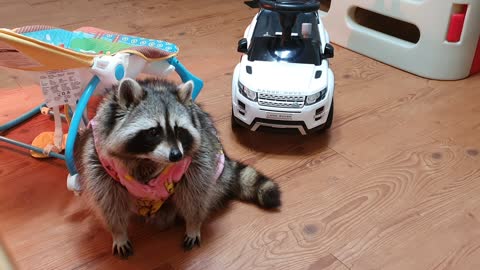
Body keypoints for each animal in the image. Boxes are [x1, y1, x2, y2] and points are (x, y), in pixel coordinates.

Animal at [74, 77, 282, 258]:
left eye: (179, 131)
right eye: (154, 132)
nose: (176, 156)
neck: (145, 159)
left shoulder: (198, 158)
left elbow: (195, 194)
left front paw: (193, 224)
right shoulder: (98, 161)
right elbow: (108, 200)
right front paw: (118, 232)